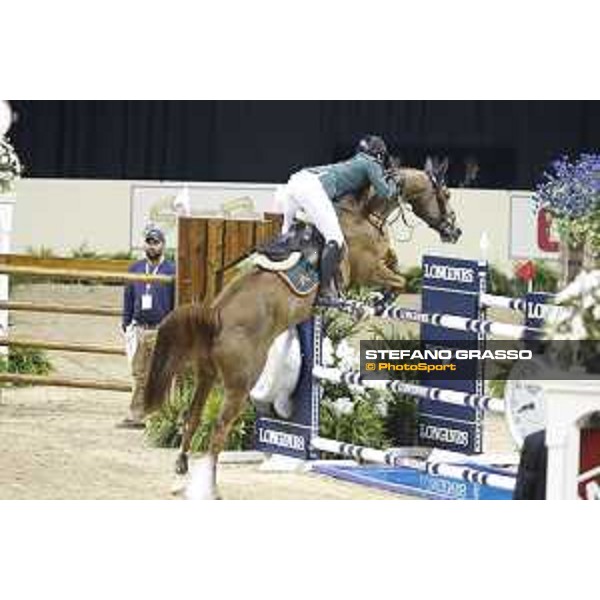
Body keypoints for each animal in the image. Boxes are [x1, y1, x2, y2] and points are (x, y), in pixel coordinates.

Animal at [143, 158, 462, 496]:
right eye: (446, 194)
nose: (455, 231)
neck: (363, 213)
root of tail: (215, 316)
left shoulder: (379, 260)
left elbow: (396, 263)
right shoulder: (368, 269)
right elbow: (398, 280)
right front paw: (375, 303)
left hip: (207, 375)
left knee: (192, 416)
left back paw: (180, 474)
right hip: (239, 384)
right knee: (219, 428)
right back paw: (210, 488)